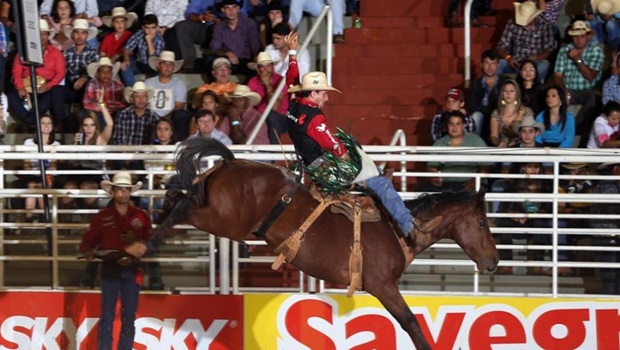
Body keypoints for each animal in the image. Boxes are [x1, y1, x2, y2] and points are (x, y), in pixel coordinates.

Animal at [156, 138, 498, 348]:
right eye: (482, 223)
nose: (494, 261)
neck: (398, 230)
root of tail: (230, 163)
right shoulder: (382, 285)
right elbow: (410, 322)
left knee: (179, 197)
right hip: (225, 220)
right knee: (183, 208)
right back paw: (148, 244)